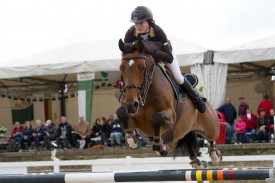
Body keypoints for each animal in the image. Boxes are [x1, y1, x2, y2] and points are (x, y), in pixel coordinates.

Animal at [116, 39, 222, 168]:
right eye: (121, 68)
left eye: (142, 67)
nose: (132, 104)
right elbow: (120, 112)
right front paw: (132, 140)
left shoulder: (171, 118)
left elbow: (157, 117)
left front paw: (159, 146)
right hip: (176, 138)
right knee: (187, 139)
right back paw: (196, 162)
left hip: (210, 126)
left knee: (212, 137)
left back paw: (214, 155)